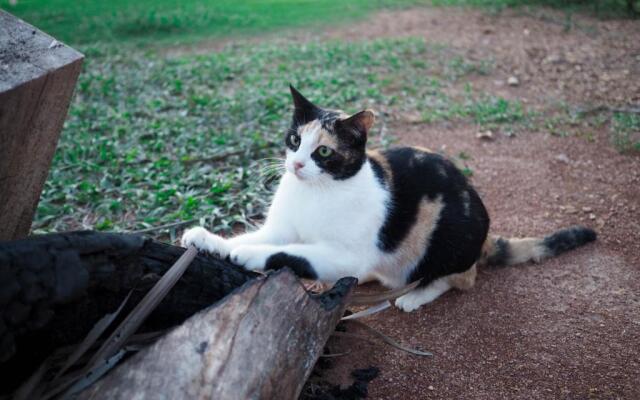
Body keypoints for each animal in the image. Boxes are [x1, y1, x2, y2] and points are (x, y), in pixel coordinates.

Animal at [180, 86, 596, 312]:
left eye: (324, 152)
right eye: (294, 139)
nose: (295, 164)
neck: (315, 193)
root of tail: (485, 237)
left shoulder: (341, 252)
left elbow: (288, 254)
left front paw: (247, 255)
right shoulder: (282, 227)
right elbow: (258, 237)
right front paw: (207, 239)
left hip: (452, 235)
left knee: (461, 278)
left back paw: (415, 295)